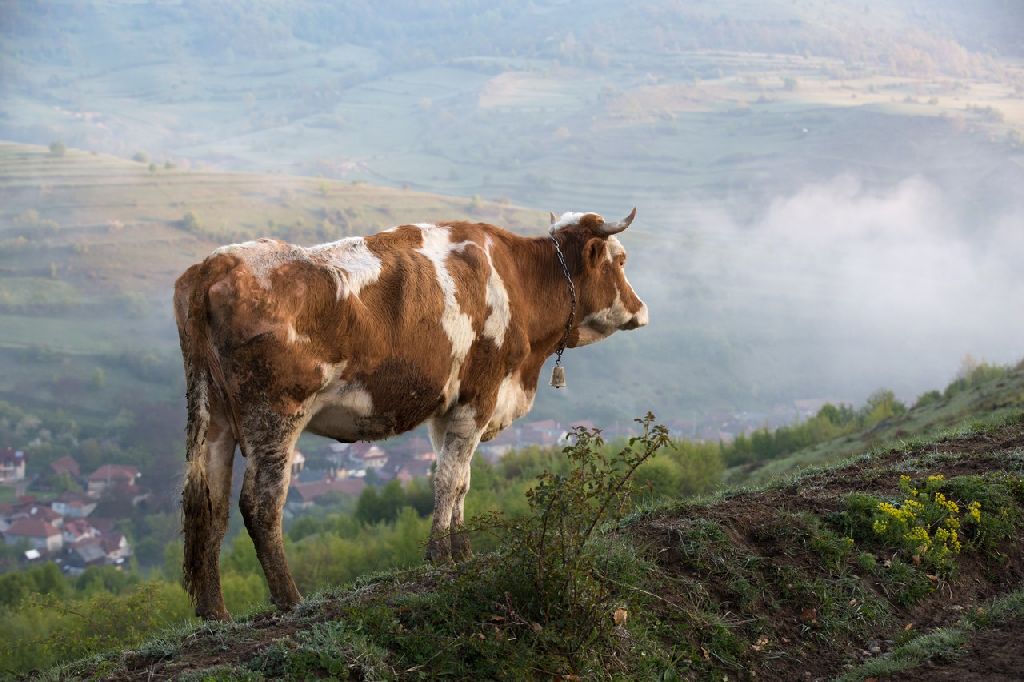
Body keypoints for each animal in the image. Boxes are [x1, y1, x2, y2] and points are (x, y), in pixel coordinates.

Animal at [174, 206, 647, 614]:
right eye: (621, 260)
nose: (641, 310)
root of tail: (216, 263)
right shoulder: (479, 396)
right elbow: (448, 480)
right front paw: (439, 554)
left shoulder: (449, 409)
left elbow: (460, 481)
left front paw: (462, 551)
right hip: (275, 417)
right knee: (260, 504)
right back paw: (290, 598)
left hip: (215, 419)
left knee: (209, 506)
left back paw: (215, 612)